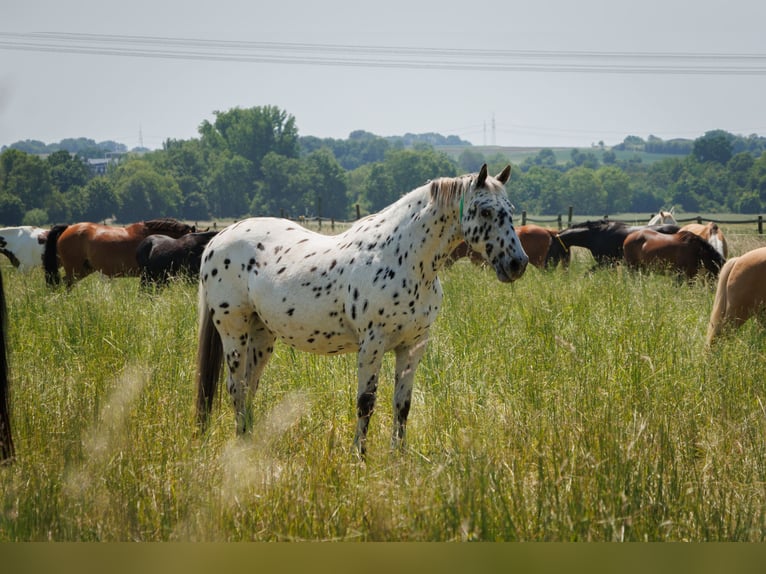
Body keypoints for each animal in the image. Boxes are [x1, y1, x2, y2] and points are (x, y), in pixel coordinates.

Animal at [195, 164, 528, 456]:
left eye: (510, 211)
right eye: (485, 211)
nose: (517, 263)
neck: (403, 257)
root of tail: (217, 239)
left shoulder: (412, 346)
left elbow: (402, 405)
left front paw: (398, 456)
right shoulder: (372, 345)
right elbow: (366, 402)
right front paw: (359, 455)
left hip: (262, 334)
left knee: (249, 385)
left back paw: (250, 443)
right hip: (234, 330)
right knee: (236, 387)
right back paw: (241, 444)